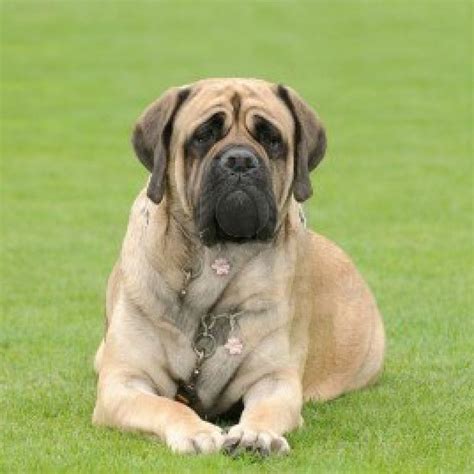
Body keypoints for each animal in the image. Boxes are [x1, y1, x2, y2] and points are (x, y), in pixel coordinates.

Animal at [93, 78, 386, 456]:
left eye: (271, 138)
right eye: (203, 135)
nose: (240, 160)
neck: (218, 260)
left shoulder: (274, 380)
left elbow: (266, 408)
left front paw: (255, 435)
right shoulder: (123, 381)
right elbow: (167, 405)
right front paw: (195, 432)